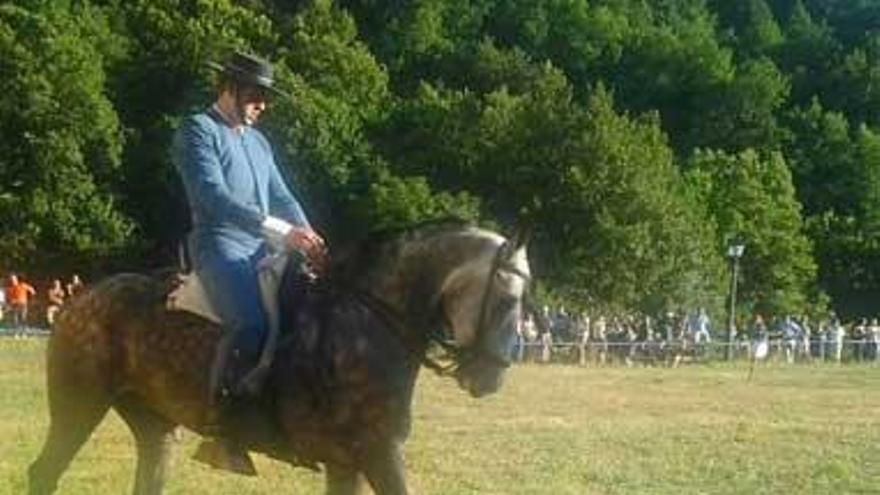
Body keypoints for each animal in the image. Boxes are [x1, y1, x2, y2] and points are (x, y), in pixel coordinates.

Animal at [27, 222, 532, 495]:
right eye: (509, 300)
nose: (491, 379)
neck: (367, 323)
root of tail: (83, 298)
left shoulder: (348, 464)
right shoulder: (380, 455)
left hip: (154, 426)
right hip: (78, 407)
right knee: (43, 472)